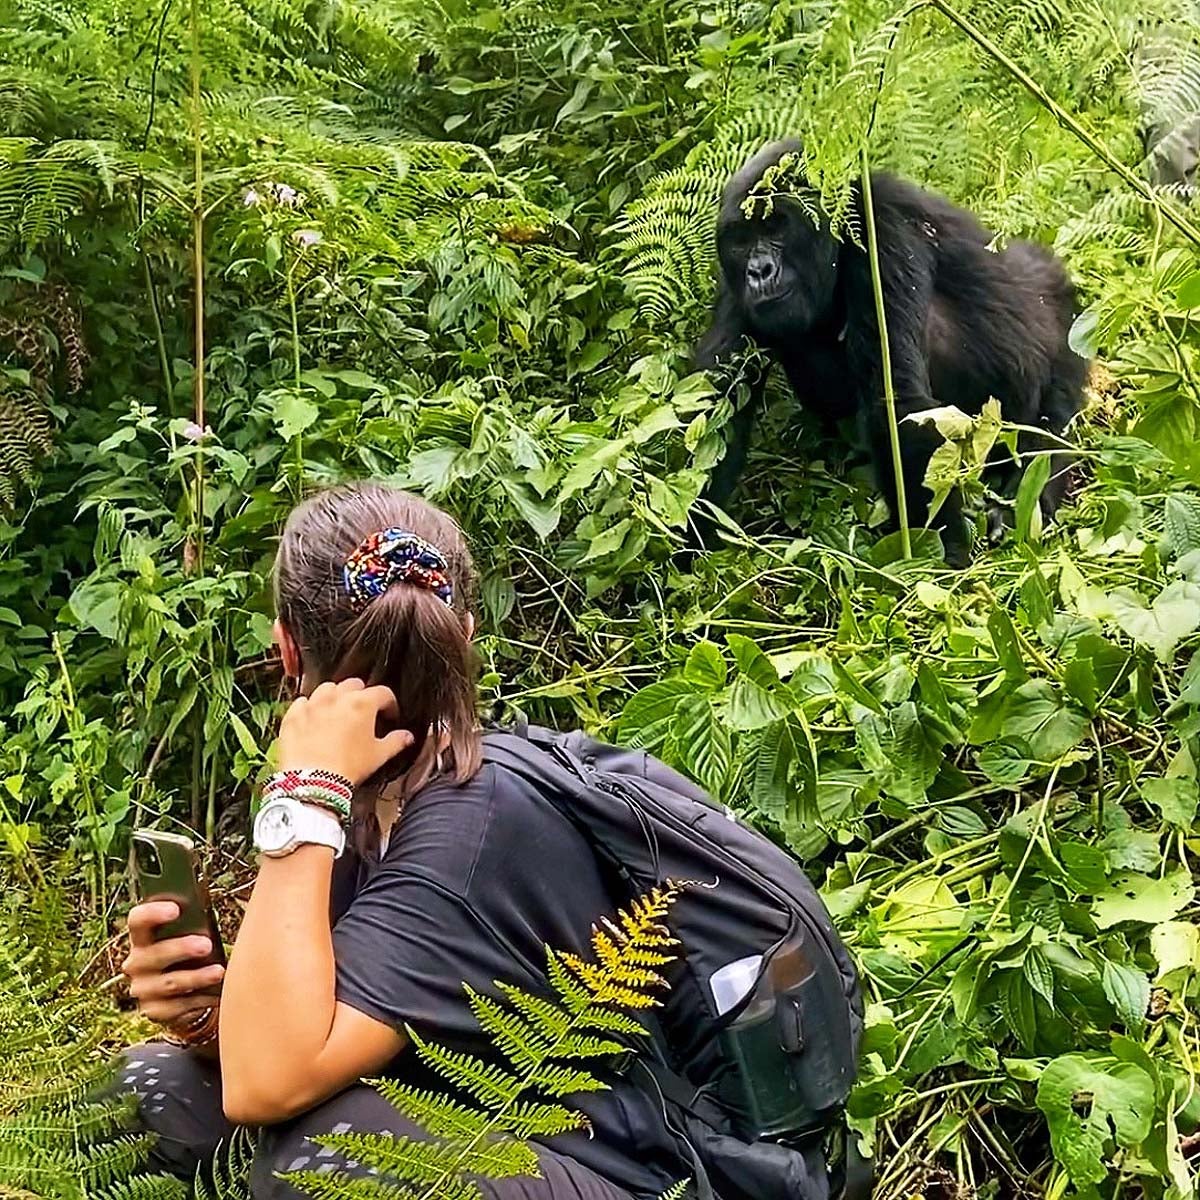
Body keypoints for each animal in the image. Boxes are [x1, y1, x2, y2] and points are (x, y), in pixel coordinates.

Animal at [691, 137, 1094, 561]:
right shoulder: (734, 288)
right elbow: (713, 418)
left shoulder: (881, 233)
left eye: (776, 227)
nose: (759, 271)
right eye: (740, 242)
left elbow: (897, 406)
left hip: (1068, 339)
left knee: (1049, 426)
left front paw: (937, 558)